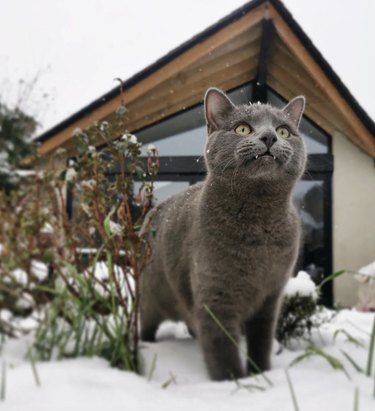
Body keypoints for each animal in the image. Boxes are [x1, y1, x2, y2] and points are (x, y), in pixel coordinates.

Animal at [140, 88, 306, 382]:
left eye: (284, 131)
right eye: (243, 128)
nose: (269, 137)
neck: (259, 229)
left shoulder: (270, 296)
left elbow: (261, 341)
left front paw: (260, 373)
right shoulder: (216, 296)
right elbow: (221, 346)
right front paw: (232, 381)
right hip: (151, 296)